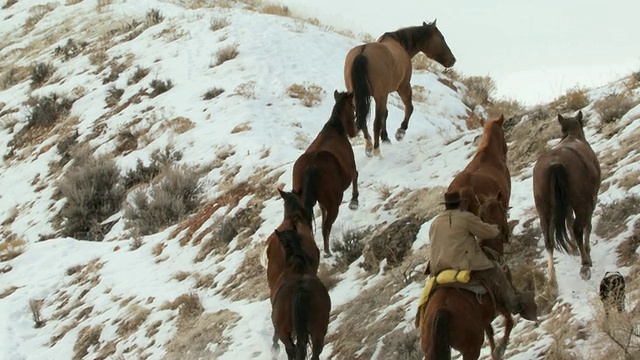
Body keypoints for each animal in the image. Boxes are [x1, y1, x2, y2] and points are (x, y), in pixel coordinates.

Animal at [270, 228, 332, 360]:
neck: (297, 267)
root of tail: (301, 290)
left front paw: (274, 348)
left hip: (284, 332)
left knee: (291, 349)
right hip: (319, 330)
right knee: (315, 352)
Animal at [292, 91, 358, 258]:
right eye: (353, 107)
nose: (354, 131)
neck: (335, 129)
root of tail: (311, 166)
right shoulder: (352, 168)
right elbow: (356, 176)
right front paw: (355, 201)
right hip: (334, 203)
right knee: (326, 227)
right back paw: (328, 252)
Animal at [342, 20, 458, 156]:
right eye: (441, 37)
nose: (453, 60)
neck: (399, 43)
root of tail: (362, 52)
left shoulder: (385, 94)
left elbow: (385, 113)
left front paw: (385, 137)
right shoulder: (403, 87)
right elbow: (409, 107)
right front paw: (400, 132)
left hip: (357, 96)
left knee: (363, 119)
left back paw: (369, 146)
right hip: (381, 96)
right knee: (375, 122)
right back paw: (377, 150)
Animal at [532, 111, 604, 282]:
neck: (572, 136)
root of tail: (555, 164)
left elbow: (569, 221)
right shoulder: (591, 198)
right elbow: (586, 225)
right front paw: (586, 250)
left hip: (543, 208)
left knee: (548, 239)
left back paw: (552, 277)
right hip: (581, 202)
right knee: (578, 227)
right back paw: (585, 264)